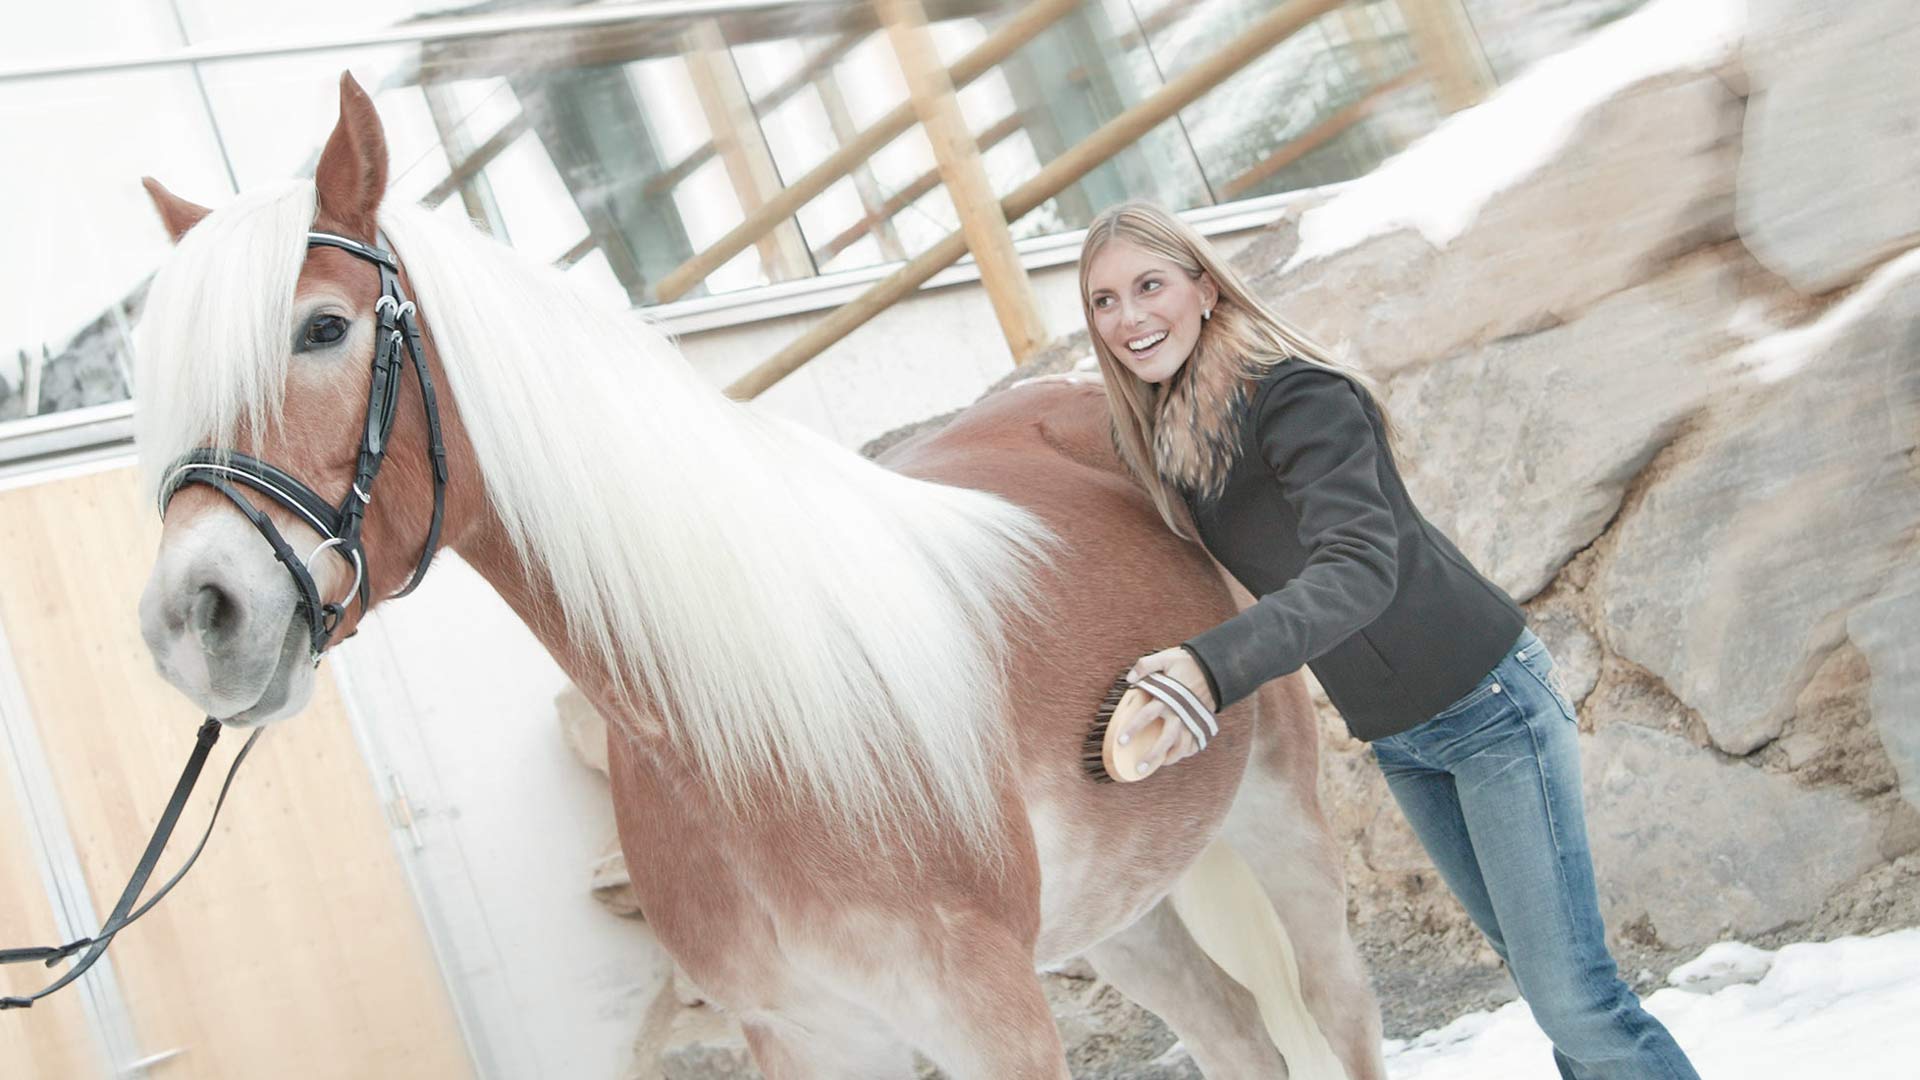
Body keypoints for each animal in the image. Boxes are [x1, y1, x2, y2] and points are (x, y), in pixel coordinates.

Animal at [135, 75, 1390, 1076]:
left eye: (323, 329)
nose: (192, 620)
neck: (750, 738)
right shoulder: (807, 1035)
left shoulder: (990, 1018)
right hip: (1118, 909)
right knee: (1235, 1029)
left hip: (1273, 808)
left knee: (1337, 1005)